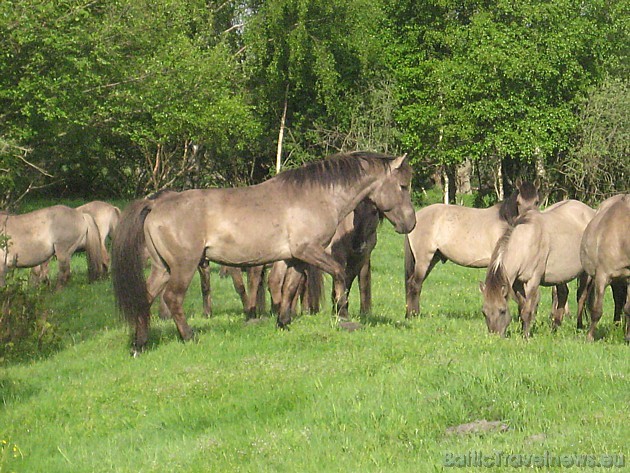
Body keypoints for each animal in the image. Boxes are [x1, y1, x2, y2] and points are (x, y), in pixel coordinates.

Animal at [112, 149, 420, 352]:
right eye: (403, 186)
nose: (411, 223)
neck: (314, 197)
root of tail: (156, 204)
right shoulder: (310, 251)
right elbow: (339, 275)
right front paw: (342, 314)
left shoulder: (296, 258)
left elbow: (290, 288)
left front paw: (283, 322)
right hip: (183, 267)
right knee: (172, 299)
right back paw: (188, 337)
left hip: (162, 268)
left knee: (145, 299)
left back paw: (139, 344)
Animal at [404, 177, 544, 318]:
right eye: (518, 202)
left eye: (537, 201)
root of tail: (416, 217)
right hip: (424, 259)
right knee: (414, 284)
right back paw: (413, 315)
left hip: (433, 258)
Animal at [478, 198, 596, 336]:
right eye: (484, 312)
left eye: (502, 310)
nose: (495, 336)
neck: (526, 242)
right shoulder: (517, 284)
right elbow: (522, 307)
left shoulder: (533, 281)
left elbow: (527, 310)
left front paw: (525, 336)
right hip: (560, 276)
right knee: (563, 294)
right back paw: (554, 328)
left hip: (585, 274)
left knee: (581, 297)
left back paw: (579, 326)